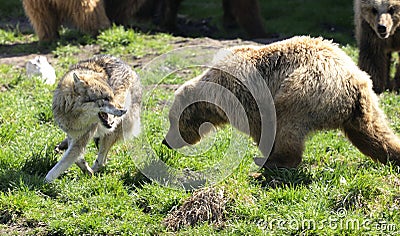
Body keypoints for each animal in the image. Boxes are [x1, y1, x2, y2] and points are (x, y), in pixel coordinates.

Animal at [161, 36, 400, 168]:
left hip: (303, 91)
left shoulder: (247, 99)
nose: (165, 141)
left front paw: (265, 152)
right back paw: (393, 154)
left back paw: (272, 162)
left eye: (173, 121)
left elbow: (261, 128)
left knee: (287, 125)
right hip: (365, 105)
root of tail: (352, 82)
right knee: (373, 134)